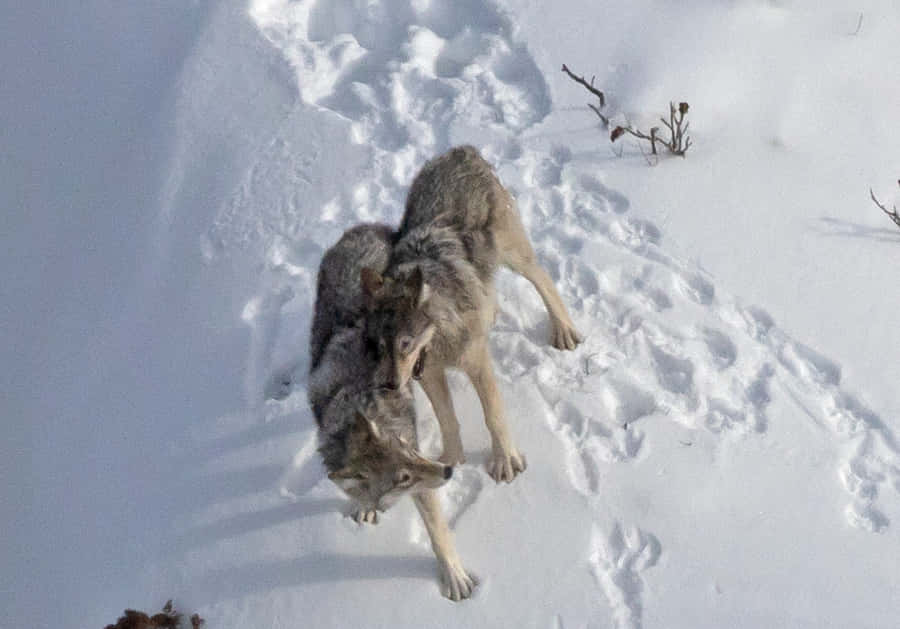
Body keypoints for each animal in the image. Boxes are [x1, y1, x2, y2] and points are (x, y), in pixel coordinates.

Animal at [308, 223, 476, 600]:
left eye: (408, 449)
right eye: (402, 478)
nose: (447, 472)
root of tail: (361, 229)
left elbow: (438, 534)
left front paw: (454, 578)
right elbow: (358, 495)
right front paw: (364, 508)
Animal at [361, 145, 582, 482]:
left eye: (405, 343)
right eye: (379, 346)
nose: (388, 386)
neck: (440, 340)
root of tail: (460, 151)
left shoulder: (477, 362)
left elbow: (493, 414)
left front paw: (505, 461)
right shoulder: (428, 375)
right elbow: (446, 418)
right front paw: (451, 460)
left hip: (512, 255)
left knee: (543, 280)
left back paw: (563, 331)